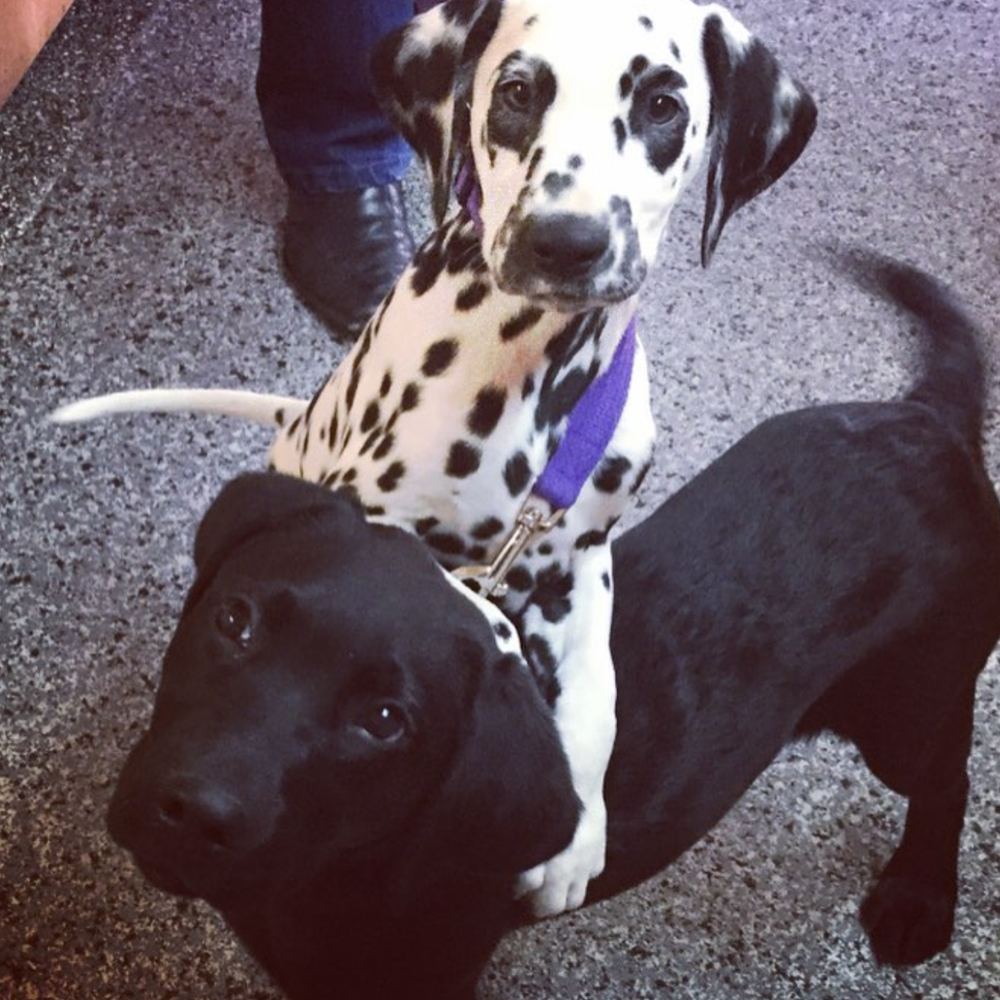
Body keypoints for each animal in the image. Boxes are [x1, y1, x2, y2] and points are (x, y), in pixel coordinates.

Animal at [52, 0, 812, 916]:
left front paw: (579, 833)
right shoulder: (386, 535)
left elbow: (598, 694)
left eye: (663, 105)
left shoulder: (581, 560)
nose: (568, 241)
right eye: (516, 91)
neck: (539, 375)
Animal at [107, 260, 1000, 1000]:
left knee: (946, 777)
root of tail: (929, 419)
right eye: (235, 618)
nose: (191, 809)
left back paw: (920, 897)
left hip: (906, 708)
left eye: (386, 721)